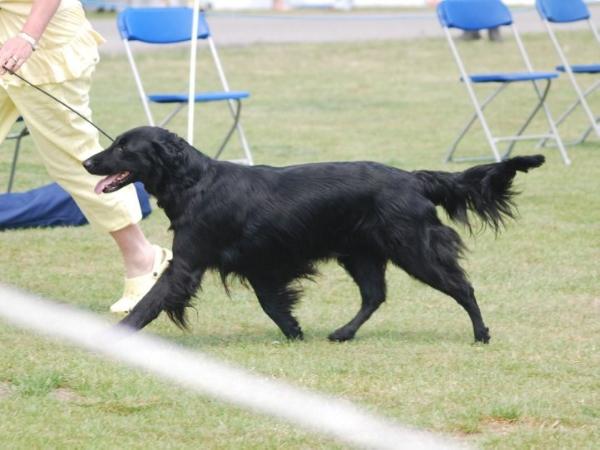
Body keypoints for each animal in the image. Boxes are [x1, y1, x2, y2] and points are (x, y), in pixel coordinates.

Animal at [82, 125, 548, 342]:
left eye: (124, 146)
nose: (87, 162)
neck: (194, 182)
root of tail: (413, 178)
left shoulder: (189, 263)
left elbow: (152, 300)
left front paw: (118, 335)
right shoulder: (260, 265)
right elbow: (274, 305)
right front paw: (295, 333)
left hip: (414, 248)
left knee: (462, 287)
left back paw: (481, 334)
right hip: (361, 254)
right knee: (374, 296)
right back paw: (343, 333)